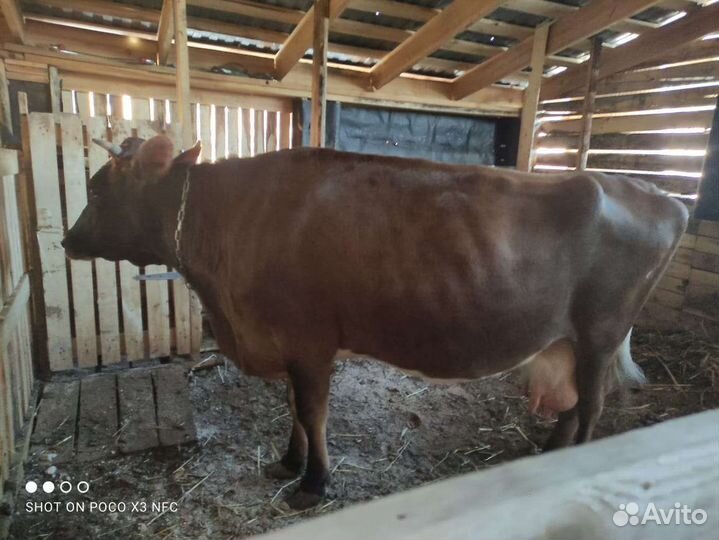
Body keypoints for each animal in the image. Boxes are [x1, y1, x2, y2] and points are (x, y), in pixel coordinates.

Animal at [62, 135, 688, 509]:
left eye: (96, 187)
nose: (67, 240)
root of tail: (654, 192)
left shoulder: (308, 340)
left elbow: (310, 412)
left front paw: (312, 484)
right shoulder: (289, 342)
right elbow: (292, 408)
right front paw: (287, 464)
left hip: (600, 333)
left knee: (592, 406)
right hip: (569, 340)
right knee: (573, 405)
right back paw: (551, 456)